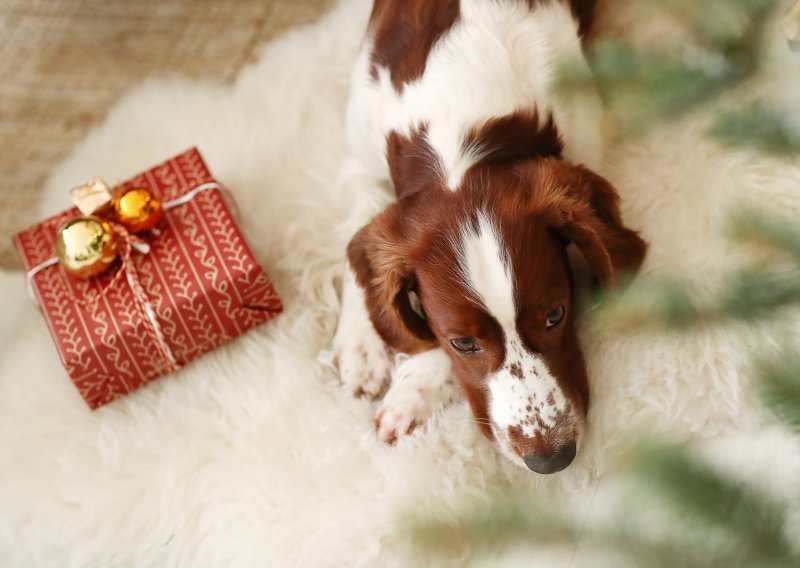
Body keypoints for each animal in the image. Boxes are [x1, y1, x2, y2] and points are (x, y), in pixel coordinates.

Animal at [332, 0, 644, 472]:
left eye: (556, 314)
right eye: (462, 342)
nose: (551, 459)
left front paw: (414, 391)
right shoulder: (362, 159)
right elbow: (359, 238)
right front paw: (363, 348)